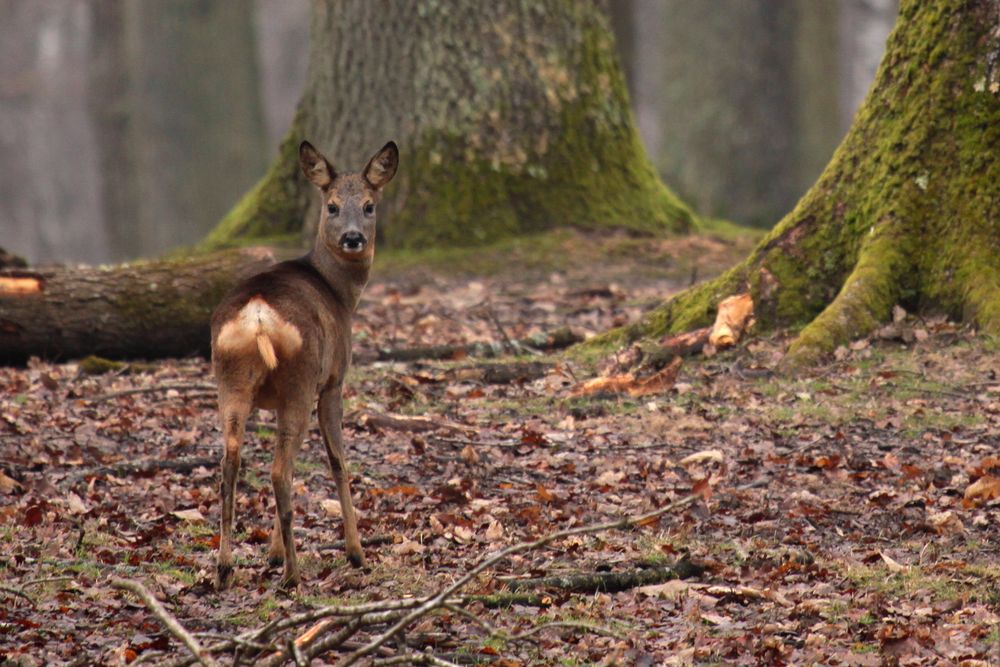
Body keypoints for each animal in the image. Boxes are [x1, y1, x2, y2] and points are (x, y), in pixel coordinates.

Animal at [211, 141, 398, 588]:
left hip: (231, 380)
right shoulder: (333, 381)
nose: (353, 238)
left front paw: (272, 552)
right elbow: (338, 461)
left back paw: (225, 568)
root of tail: (258, 317)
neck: (340, 293)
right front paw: (356, 553)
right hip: (300, 378)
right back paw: (293, 576)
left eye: (369, 205)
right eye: (332, 206)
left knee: (231, 461)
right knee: (280, 470)